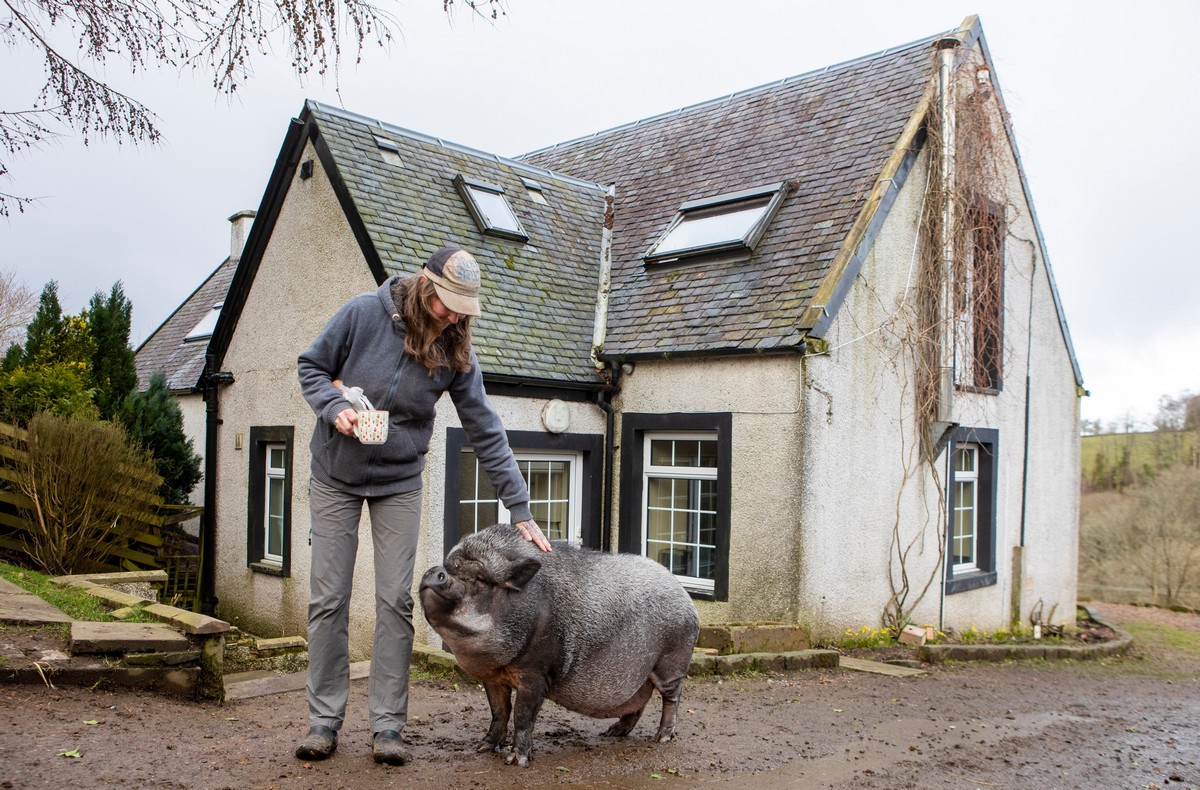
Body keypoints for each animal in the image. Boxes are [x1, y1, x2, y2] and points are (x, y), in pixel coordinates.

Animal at [422, 523, 700, 763]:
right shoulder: (493, 678)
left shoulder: (536, 673)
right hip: (639, 674)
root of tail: (685, 597)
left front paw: (516, 760)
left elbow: (522, 716)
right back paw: (612, 733)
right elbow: (499, 712)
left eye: (479, 579)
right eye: (450, 567)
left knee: (671, 698)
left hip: (672, 660)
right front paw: (482, 747)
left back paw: (661, 738)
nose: (434, 571)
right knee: (638, 703)